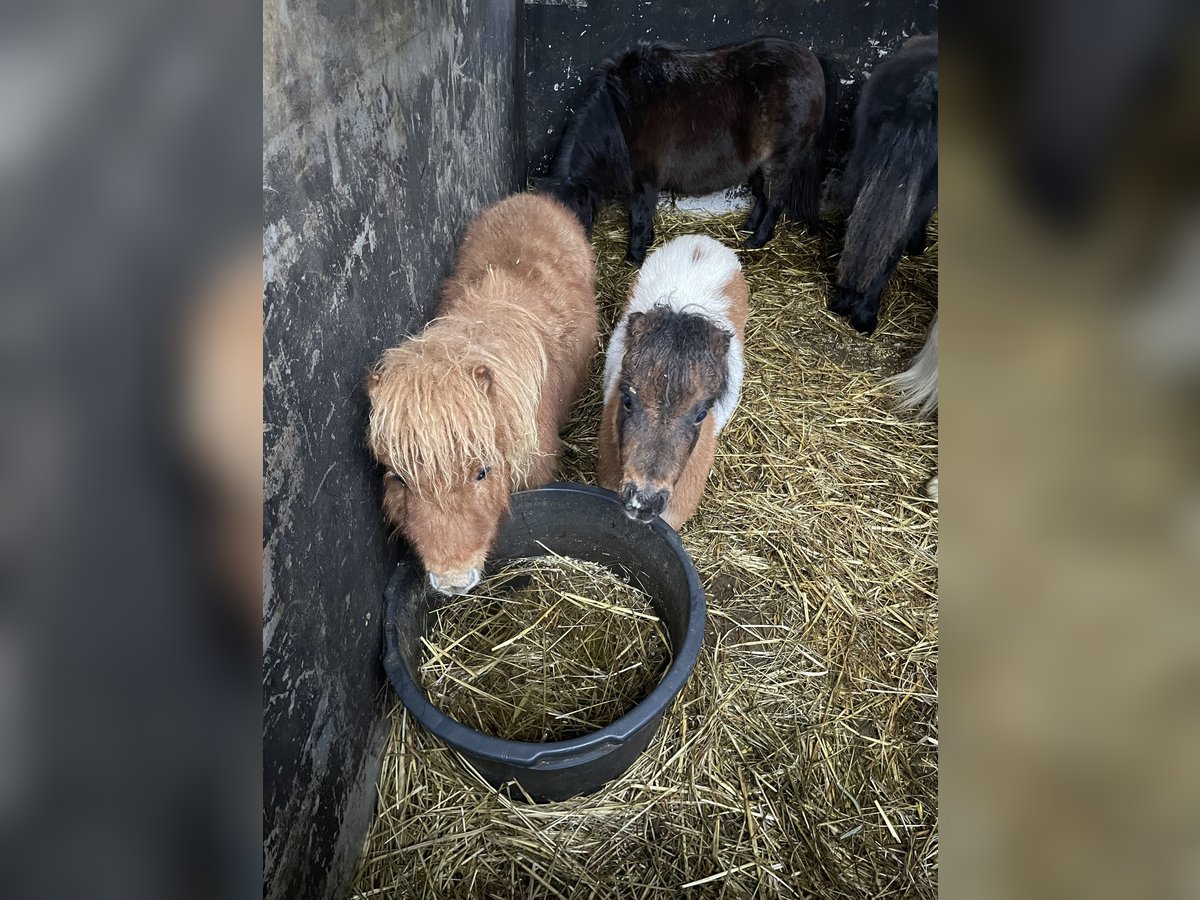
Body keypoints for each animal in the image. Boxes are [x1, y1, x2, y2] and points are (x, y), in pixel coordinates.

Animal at [549, 38, 840, 264]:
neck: (622, 115)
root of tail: (812, 60)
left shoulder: (643, 182)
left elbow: (639, 217)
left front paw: (635, 256)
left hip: (780, 161)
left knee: (775, 201)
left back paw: (757, 239)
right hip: (761, 164)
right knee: (762, 198)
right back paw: (748, 228)